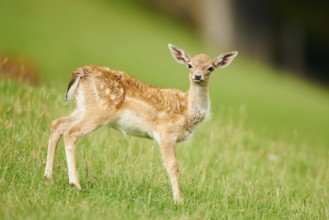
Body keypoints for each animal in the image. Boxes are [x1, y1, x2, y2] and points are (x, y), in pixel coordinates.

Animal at [44, 43, 237, 203]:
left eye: (210, 68)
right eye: (189, 65)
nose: (198, 76)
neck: (186, 111)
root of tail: (81, 71)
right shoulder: (165, 132)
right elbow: (173, 166)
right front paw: (179, 200)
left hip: (83, 107)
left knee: (57, 124)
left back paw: (49, 177)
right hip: (100, 110)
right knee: (71, 132)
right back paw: (75, 183)